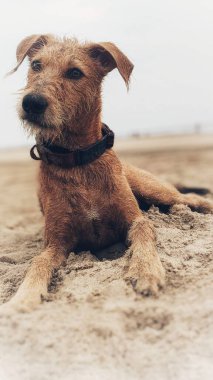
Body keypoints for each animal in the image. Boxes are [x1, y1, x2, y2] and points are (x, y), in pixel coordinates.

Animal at [4, 34, 212, 310]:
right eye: (36, 65)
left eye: (75, 72)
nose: (32, 102)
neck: (79, 163)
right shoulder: (56, 243)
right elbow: (38, 262)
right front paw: (23, 297)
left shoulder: (135, 219)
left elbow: (145, 231)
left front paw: (146, 270)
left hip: (155, 190)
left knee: (193, 198)